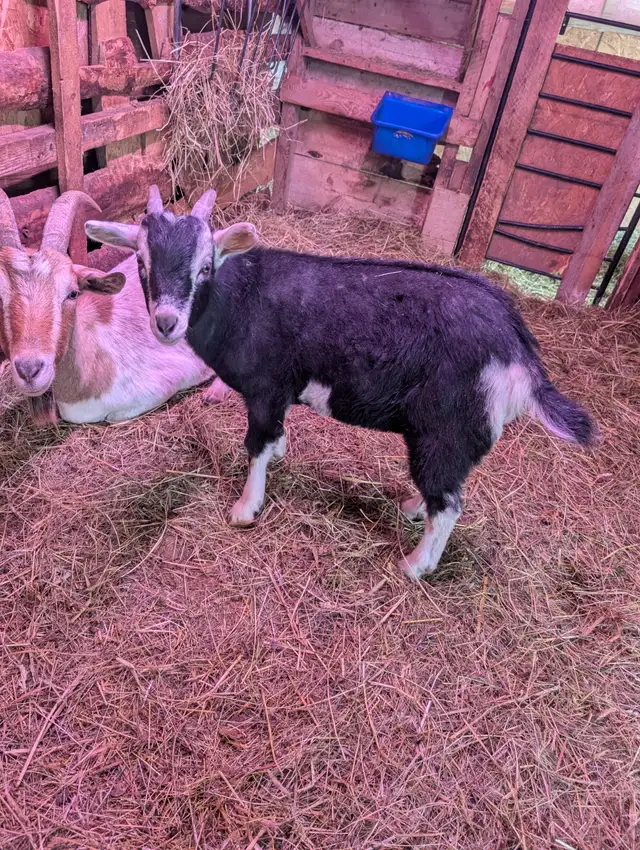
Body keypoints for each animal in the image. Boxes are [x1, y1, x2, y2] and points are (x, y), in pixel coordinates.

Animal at [87, 186, 596, 579]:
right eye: (141, 261)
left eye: (205, 266)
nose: (166, 323)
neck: (240, 298)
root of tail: (519, 350)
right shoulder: (279, 395)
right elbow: (275, 437)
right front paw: (281, 455)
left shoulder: (267, 388)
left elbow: (256, 444)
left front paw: (246, 509)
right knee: (444, 489)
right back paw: (412, 508)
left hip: (445, 427)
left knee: (449, 501)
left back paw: (415, 565)